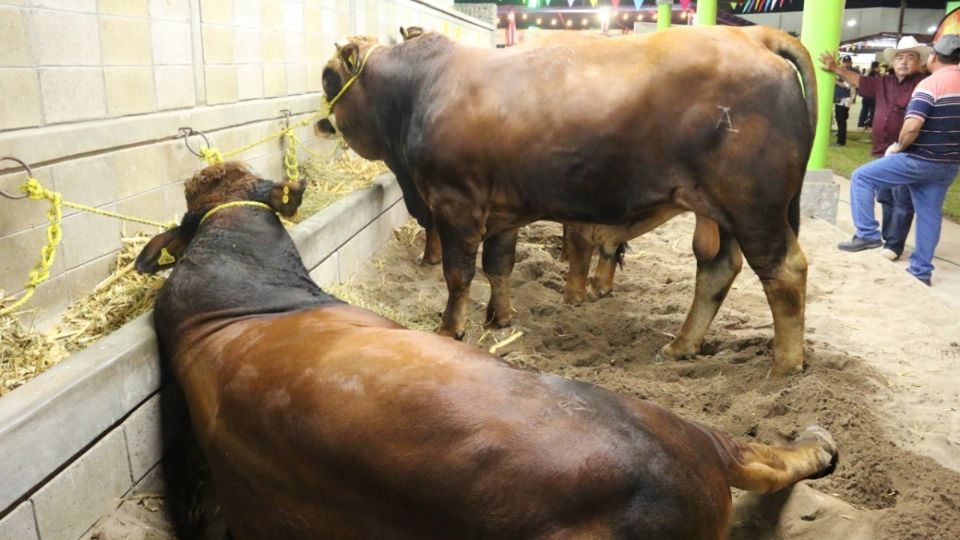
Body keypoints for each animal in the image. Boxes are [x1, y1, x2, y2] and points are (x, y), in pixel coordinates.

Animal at [320, 24, 816, 376]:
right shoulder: (501, 211)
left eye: (328, 78)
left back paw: (784, 366)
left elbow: (458, 274)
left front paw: (449, 329)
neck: (422, 87)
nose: (323, 123)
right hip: (723, 211)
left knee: (784, 271)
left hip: (754, 206)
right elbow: (499, 265)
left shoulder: (454, 202)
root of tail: (755, 35)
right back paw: (680, 346)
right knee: (717, 269)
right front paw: (500, 318)